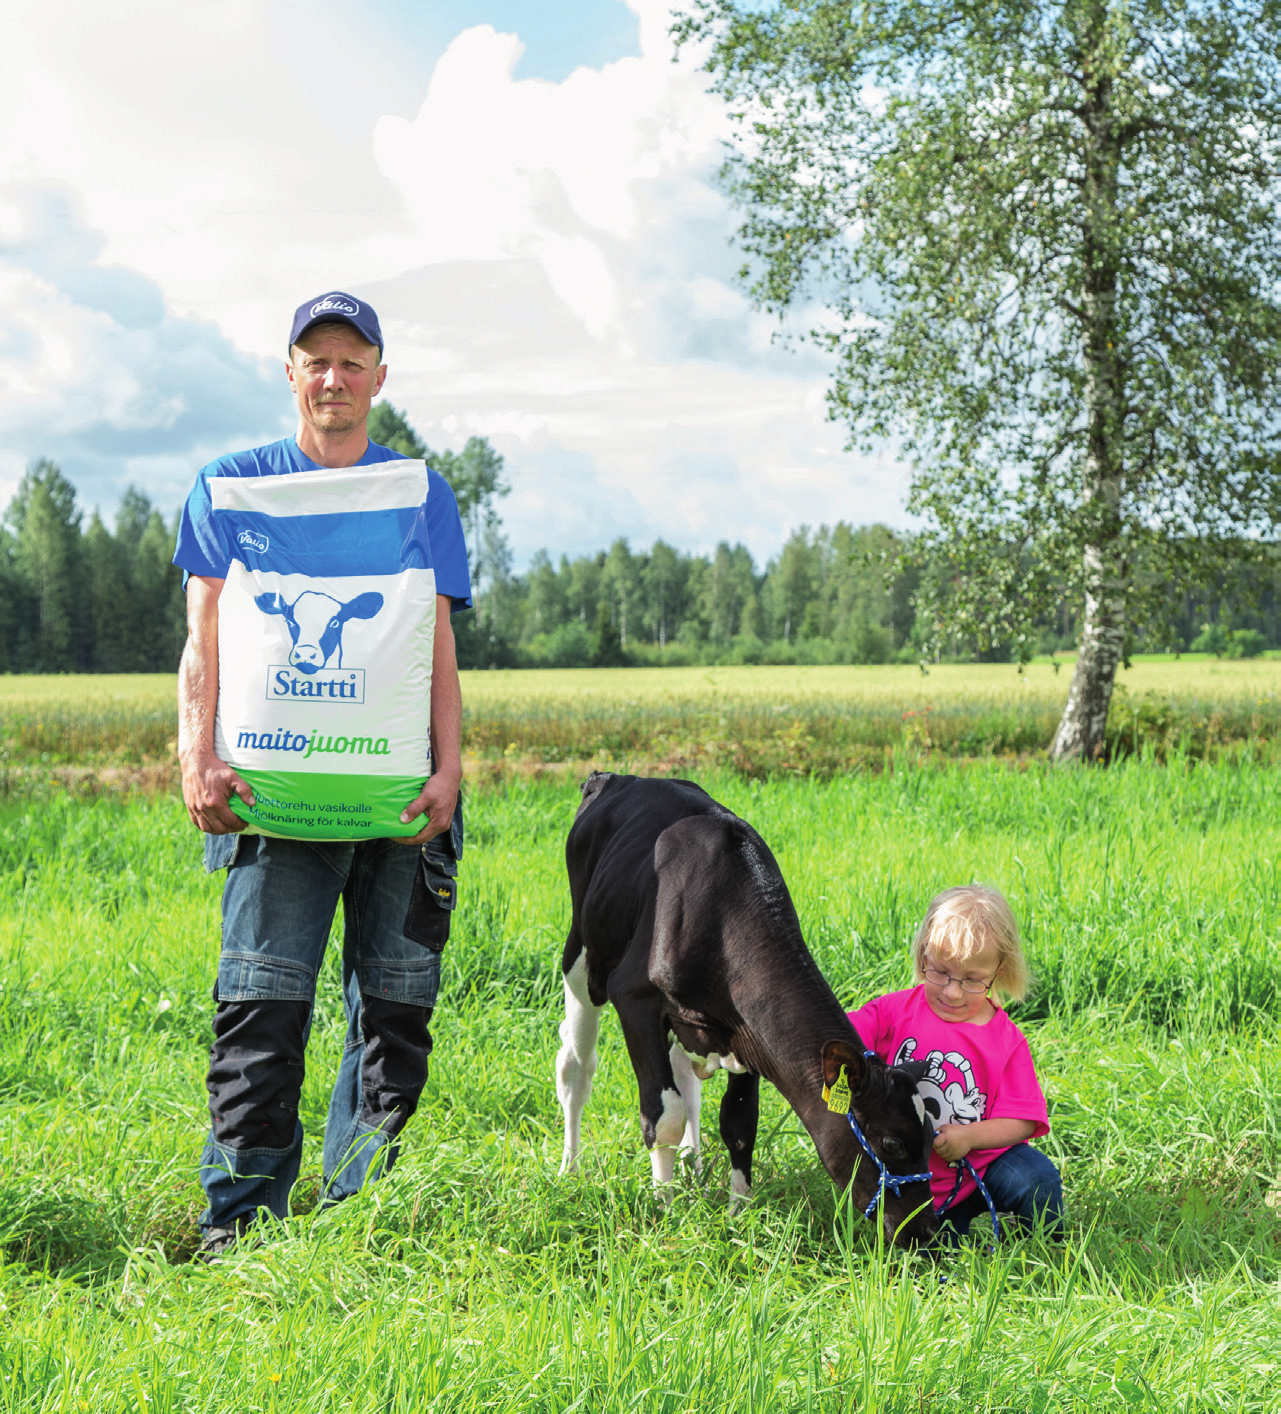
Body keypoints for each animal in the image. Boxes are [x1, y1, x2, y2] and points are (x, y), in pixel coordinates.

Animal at [554, 774, 933, 1249]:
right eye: (892, 1143)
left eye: (932, 1138)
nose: (926, 1229)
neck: (720, 916)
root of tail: (617, 777)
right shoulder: (634, 998)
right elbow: (663, 1115)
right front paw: (664, 1210)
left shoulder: (747, 1035)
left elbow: (738, 1123)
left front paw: (738, 1216)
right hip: (584, 959)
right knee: (576, 1066)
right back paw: (571, 1169)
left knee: (686, 1079)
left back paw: (692, 1167)